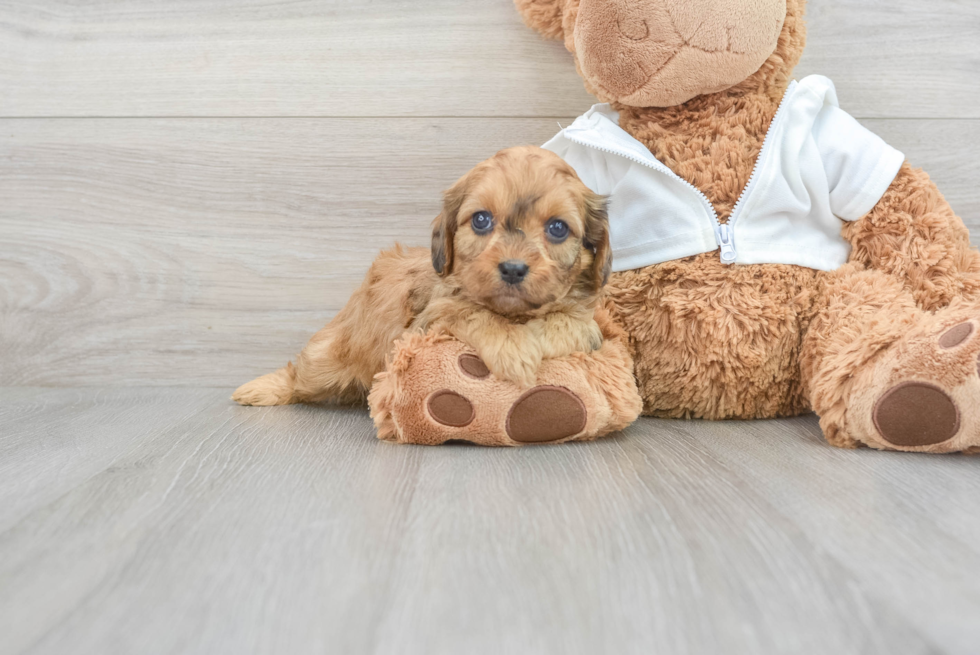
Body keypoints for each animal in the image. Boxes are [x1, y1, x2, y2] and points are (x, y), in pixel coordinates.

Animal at [233, 146, 608, 408]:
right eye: (481, 220)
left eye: (557, 228)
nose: (513, 268)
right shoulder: (428, 319)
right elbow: (470, 310)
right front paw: (511, 347)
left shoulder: (585, 320)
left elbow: (574, 324)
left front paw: (540, 337)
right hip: (329, 357)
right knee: (300, 374)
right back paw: (260, 389)